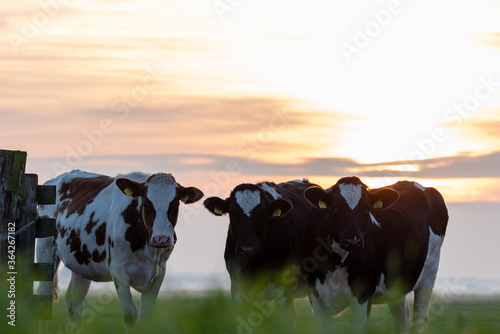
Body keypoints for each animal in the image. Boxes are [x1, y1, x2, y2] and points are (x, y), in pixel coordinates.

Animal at [35, 171, 204, 332]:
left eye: (175, 205)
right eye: (146, 204)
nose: (161, 239)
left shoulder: (159, 273)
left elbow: (146, 315)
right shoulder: (119, 273)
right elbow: (130, 315)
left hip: (81, 262)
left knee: (74, 303)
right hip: (46, 253)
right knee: (44, 301)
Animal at [300, 176, 450, 332]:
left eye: (366, 209)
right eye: (335, 207)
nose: (352, 241)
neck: (336, 264)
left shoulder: (363, 294)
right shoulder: (315, 295)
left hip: (430, 271)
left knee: (420, 318)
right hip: (395, 284)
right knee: (402, 317)